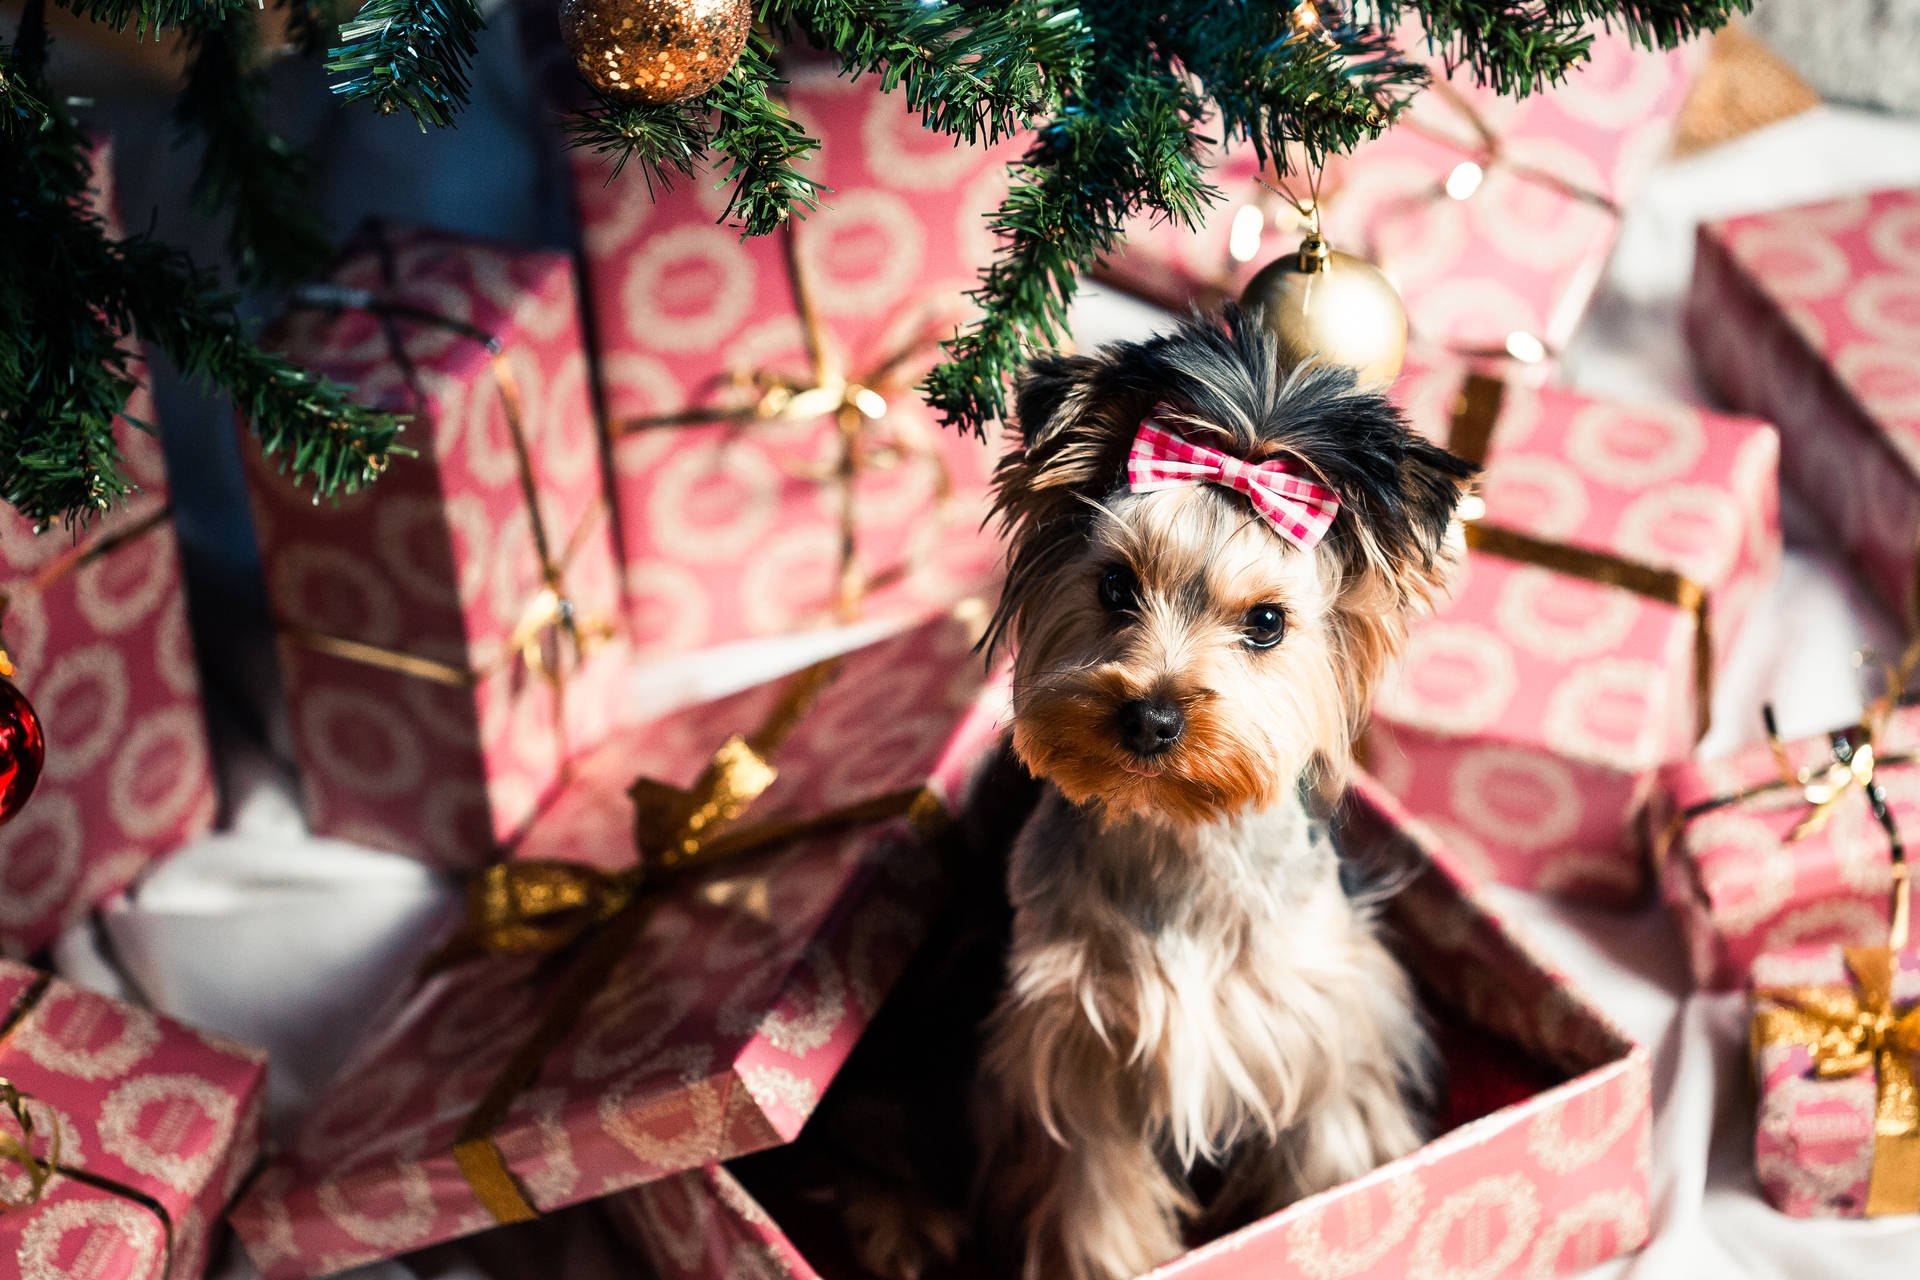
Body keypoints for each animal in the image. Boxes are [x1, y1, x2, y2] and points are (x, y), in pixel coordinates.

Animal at [975, 310, 1466, 1280]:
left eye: (1267, 623)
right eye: (1115, 585)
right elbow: (1096, 1215)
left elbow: (1337, 1164)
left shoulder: (1330, 1039)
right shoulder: (1078, 1061)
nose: (1152, 718)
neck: (1177, 831)